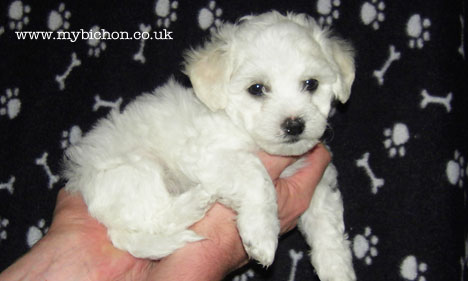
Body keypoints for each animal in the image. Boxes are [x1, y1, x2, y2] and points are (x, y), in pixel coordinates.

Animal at [61, 10, 354, 280]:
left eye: (311, 84)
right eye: (256, 88)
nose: (294, 125)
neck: (235, 120)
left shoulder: (319, 180)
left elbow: (327, 223)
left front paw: (337, 268)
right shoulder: (206, 154)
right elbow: (256, 176)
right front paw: (261, 234)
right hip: (136, 170)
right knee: (156, 218)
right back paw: (196, 200)